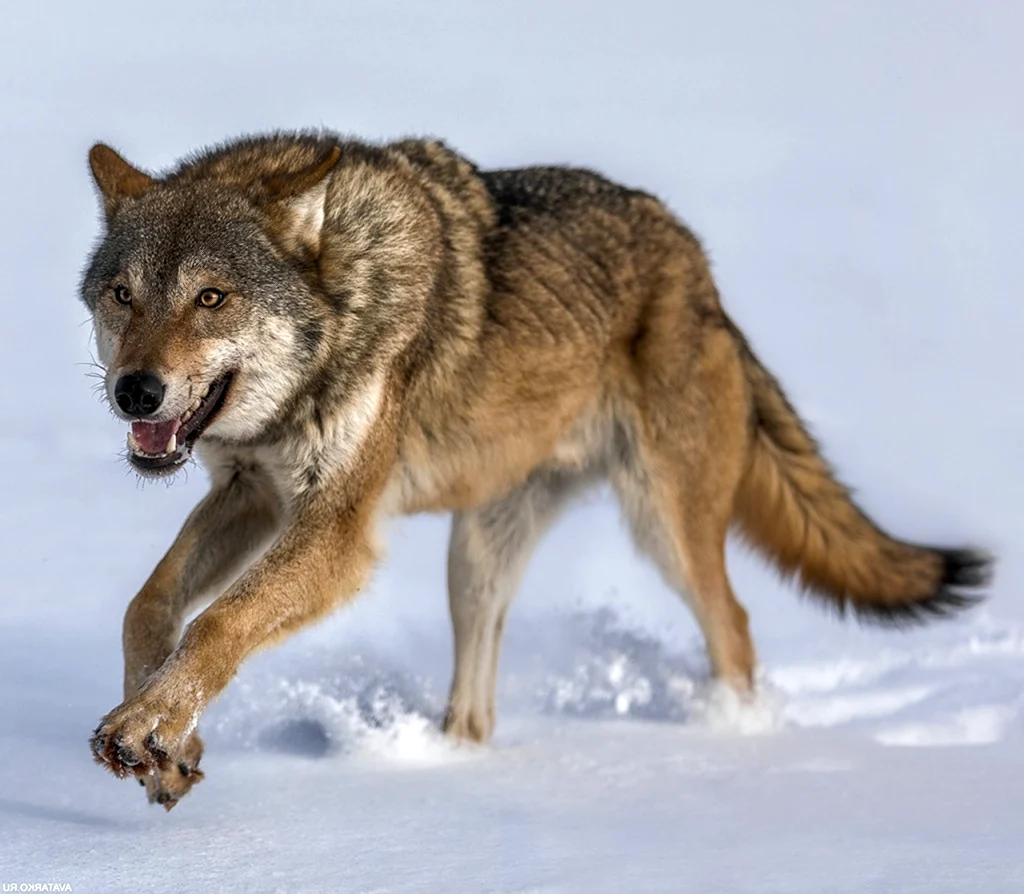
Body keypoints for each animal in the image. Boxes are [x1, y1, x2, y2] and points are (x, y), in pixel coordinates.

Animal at [79, 132, 991, 811]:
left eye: (211, 297)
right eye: (123, 294)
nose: (135, 391)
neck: (341, 312)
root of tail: (701, 271)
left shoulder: (336, 531)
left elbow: (219, 622)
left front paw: (147, 725)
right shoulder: (252, 494)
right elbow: (147, 606)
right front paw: (168, 740)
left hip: (664, 530)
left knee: (733, 623)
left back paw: (730, 740)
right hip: (477, 559)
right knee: (477, 706)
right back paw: (452, 764)